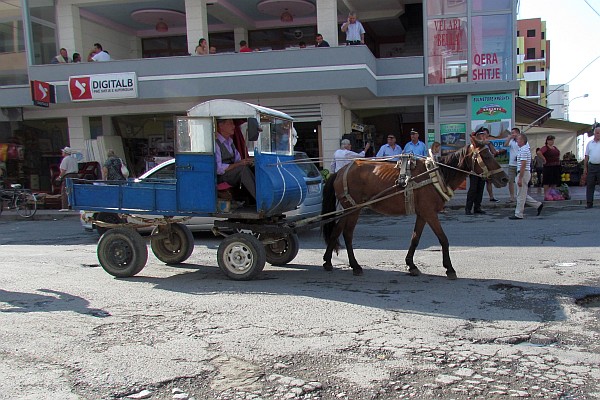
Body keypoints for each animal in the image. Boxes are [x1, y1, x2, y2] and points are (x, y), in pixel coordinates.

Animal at [322, 136, 508, 280]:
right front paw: (449, 268)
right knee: (347, 234)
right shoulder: (430, 213)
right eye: (486, 155)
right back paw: (355, 266)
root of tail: (340, 171)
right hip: (354, 209)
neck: (436, 175)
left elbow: (415, 239)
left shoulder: (422, 214)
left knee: (336, 230)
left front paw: (411, 265)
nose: (505, 179)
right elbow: (443, 239)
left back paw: (328, 261)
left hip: (349, 209)